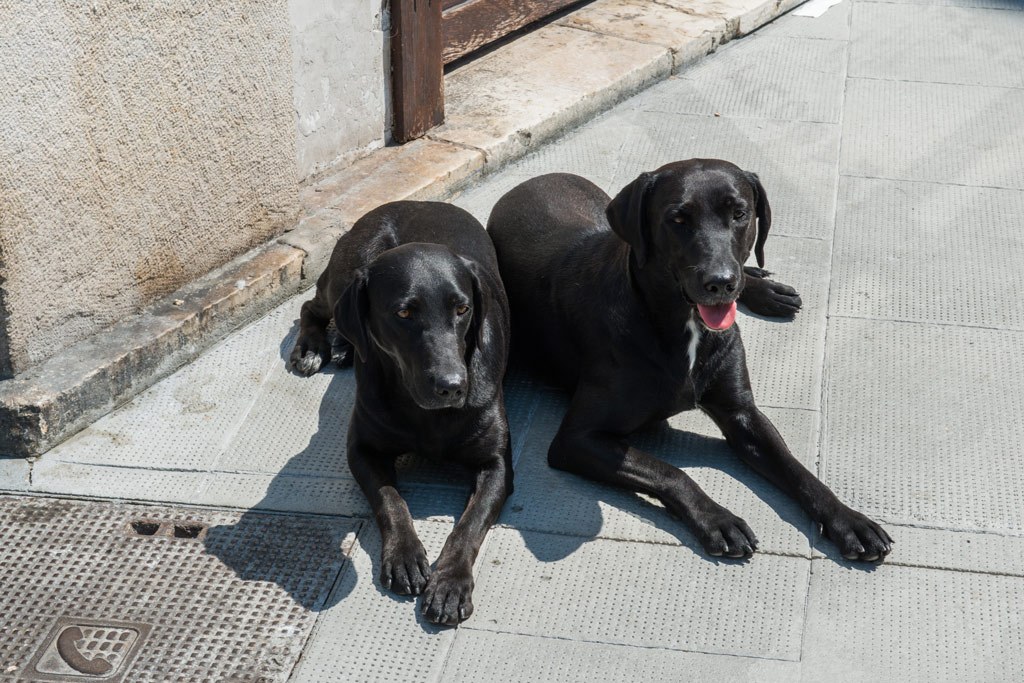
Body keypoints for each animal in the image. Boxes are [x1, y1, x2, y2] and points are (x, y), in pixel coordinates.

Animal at [288, 201, 512, 626]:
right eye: (404, 314)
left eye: (463, 309)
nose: (453, 386)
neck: (423, 412)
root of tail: (413, 203)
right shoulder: (362, 450)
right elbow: (390, 501)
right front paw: (405, 557)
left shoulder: (497, 465)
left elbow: (468, 526)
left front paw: (450, 583)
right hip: (345, 273)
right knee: (312, 307)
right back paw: (313, 347)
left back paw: (343, 346)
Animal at [485, 161, 888, 565]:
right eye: (677, 218)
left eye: (739, 214)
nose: (720, 282)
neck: (681, 323)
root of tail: (535, 179)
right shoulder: (576, 440)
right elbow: (669, 471)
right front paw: (717, 519)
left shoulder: (742, 413)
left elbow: (797, 470)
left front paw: (848, 519)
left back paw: (763, 287)